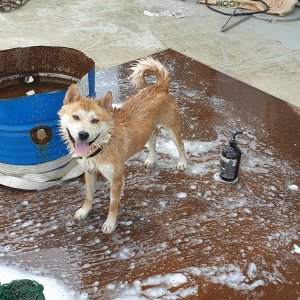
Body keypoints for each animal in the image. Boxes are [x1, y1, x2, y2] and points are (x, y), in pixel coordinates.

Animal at [58, 56, 188, 234]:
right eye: (76, 117)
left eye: (95, 120)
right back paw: (151, 159)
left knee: (180, 145)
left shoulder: (115, 178)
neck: (103, 144)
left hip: (171, 128)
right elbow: (88, 195)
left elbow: (113, 204)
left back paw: (182, 162)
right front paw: (85, 211)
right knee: (153, 139)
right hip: (147, 130)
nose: (83, 134)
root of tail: (159, 87)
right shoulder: (89, 172)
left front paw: (110, 223)